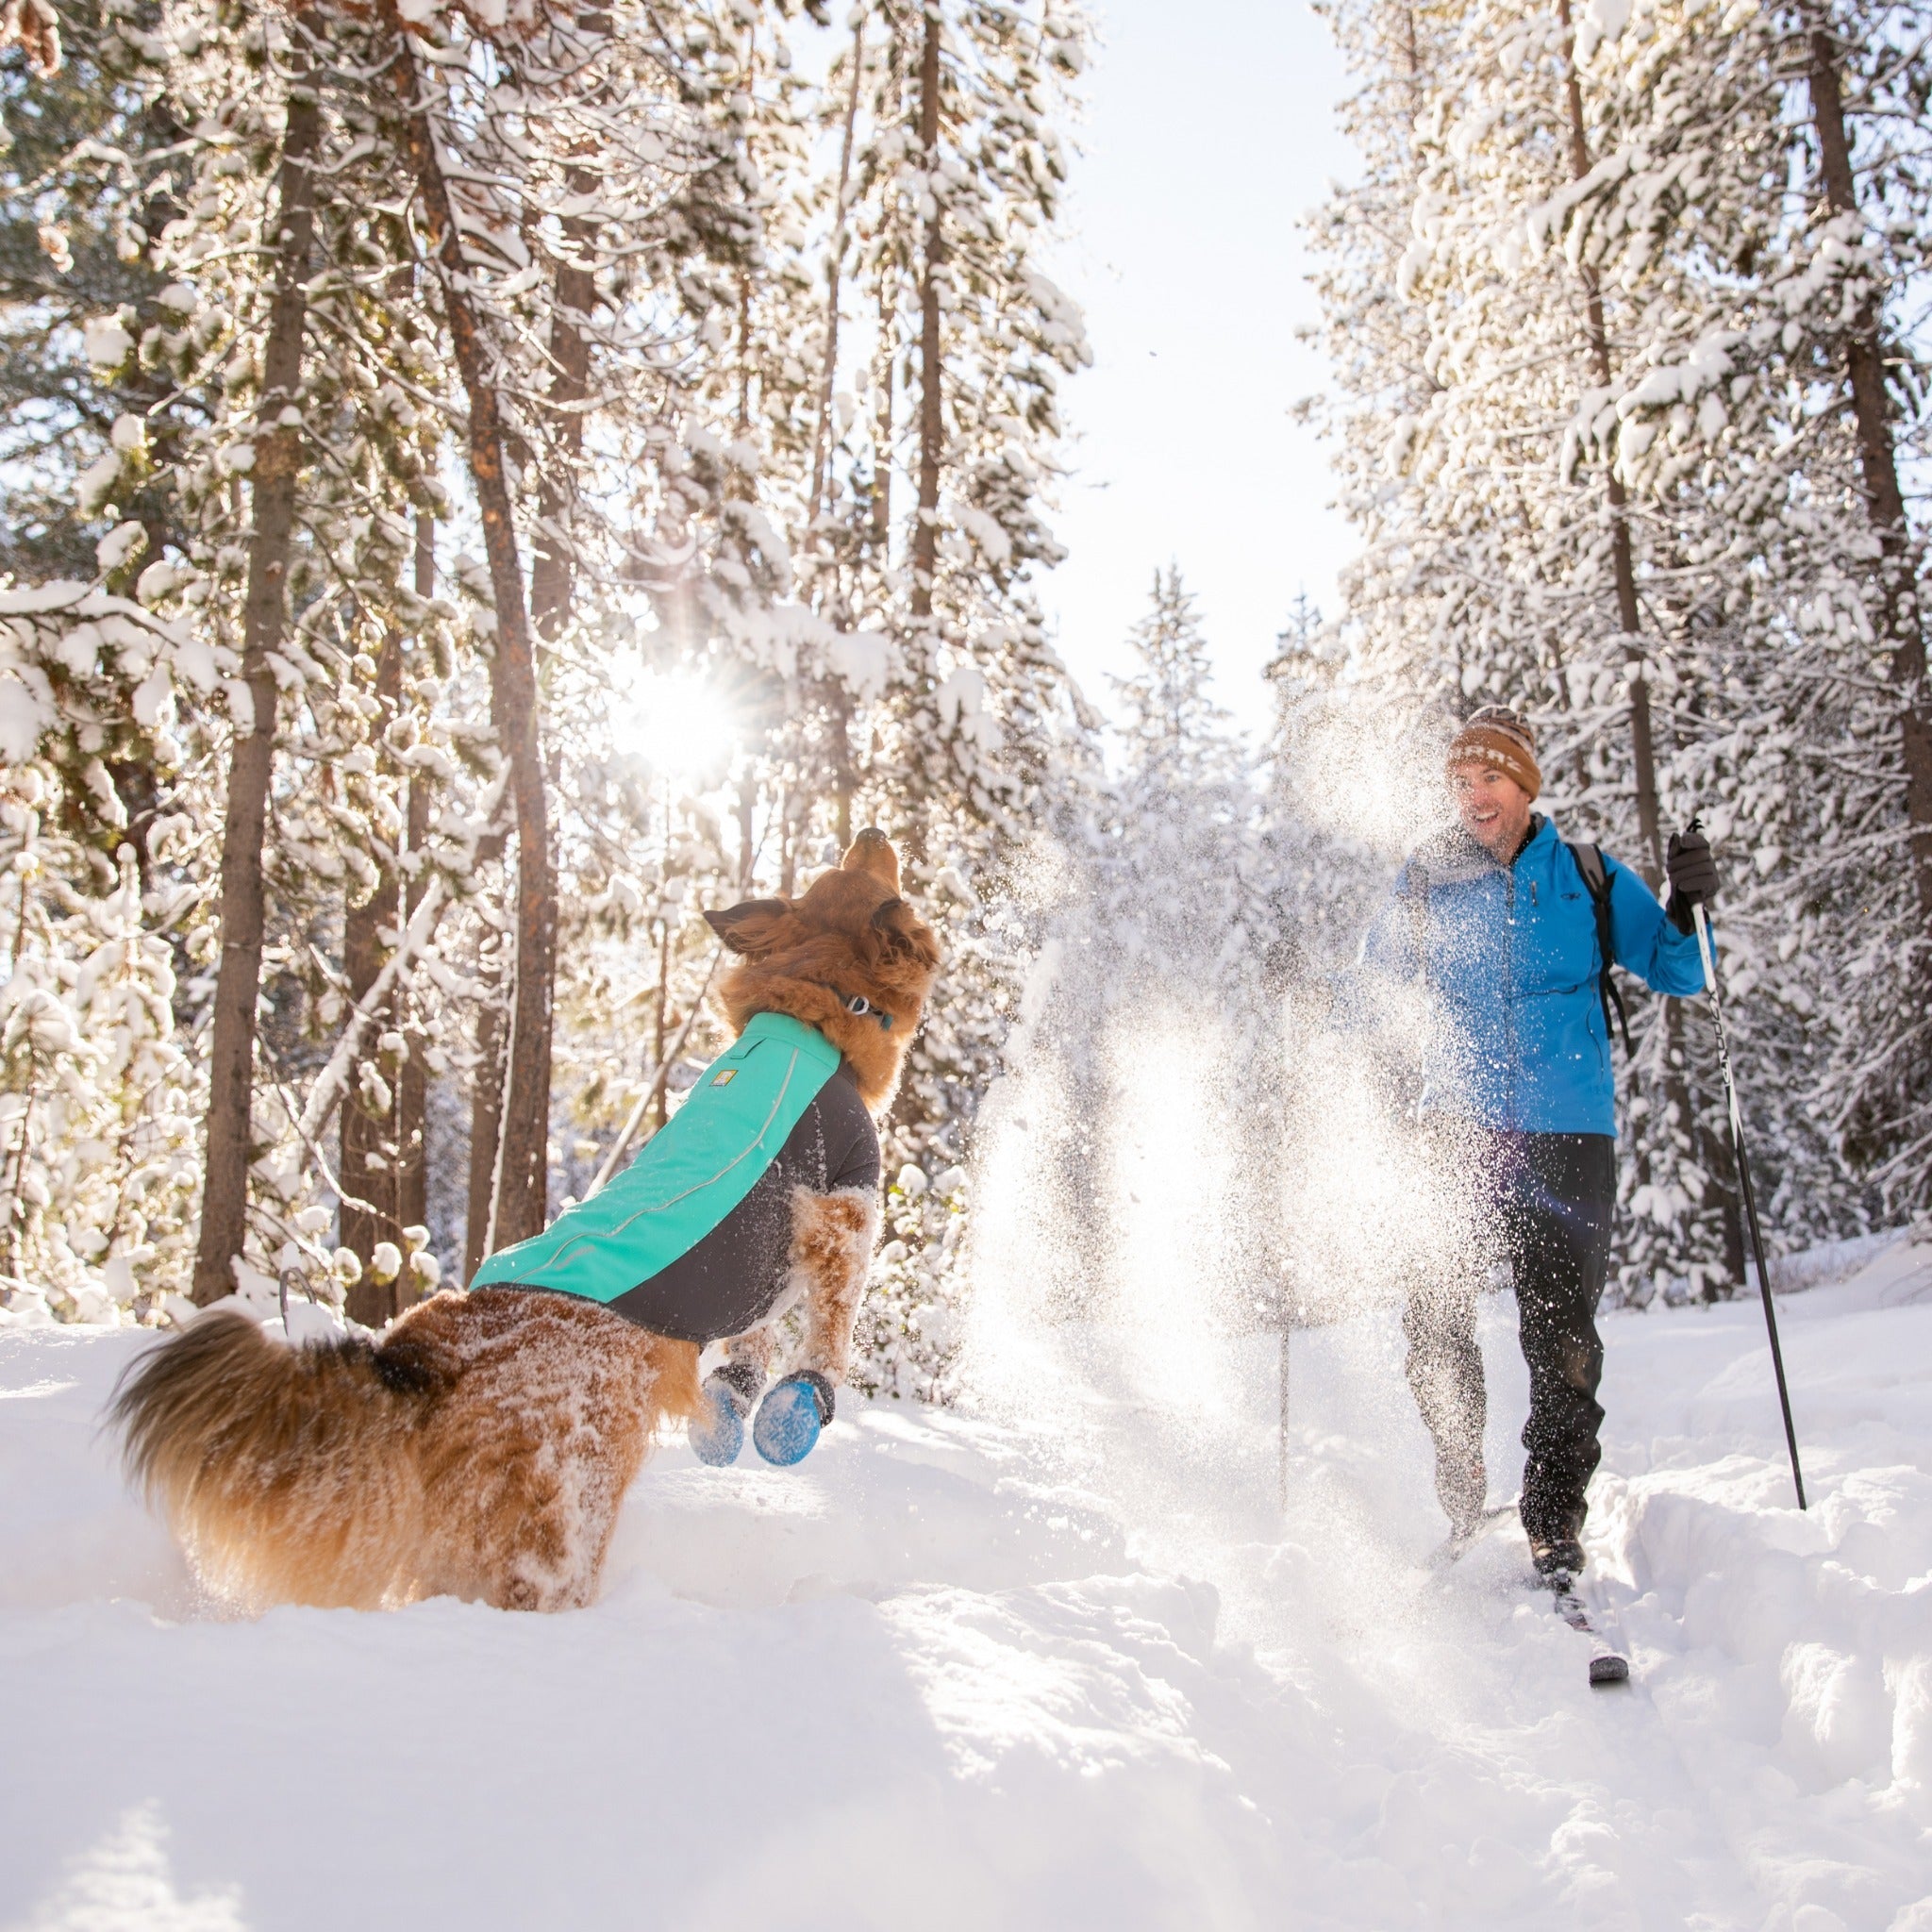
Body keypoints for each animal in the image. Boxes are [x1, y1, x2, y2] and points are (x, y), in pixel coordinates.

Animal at [112, 830, 942, 1615]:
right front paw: (800, 1407)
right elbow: (828, 1331)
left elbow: (757, 1327)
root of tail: (430, 1351)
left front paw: (732, 1401)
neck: (816, 1009)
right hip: (558, 1535)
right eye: (869, 876)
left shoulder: (777, 1256)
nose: (871, 828)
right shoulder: (845, 1209)